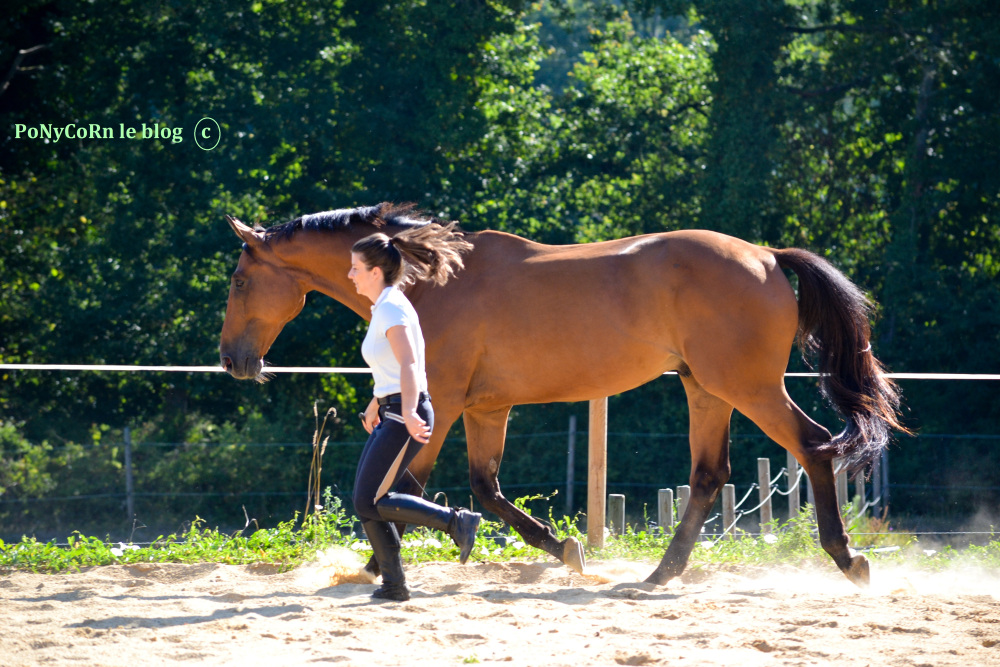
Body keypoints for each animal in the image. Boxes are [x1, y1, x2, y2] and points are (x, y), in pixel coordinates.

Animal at [219, 201, 908, 588]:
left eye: (239, 281)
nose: (232, 360)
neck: (429, 281)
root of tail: (765, 256)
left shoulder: (439, 404)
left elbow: (405, 487)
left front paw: (367, 566)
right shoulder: (486, 409)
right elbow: (484, 488)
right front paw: (565, 549)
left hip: (747, 386)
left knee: (813, 446)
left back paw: (848, 560)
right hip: (704, 388)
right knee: (709, 475)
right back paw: (657, 575)